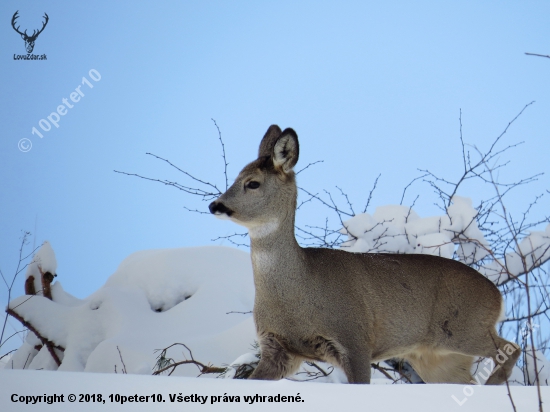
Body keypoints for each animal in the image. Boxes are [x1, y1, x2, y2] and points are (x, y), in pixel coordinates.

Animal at [209, 124, 520, 384]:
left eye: (252, 183)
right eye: (236, 178)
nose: (215, 205)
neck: (299, 292)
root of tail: (498, 295)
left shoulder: (355, 339)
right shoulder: (277, 349)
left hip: (464, 328)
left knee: (511, 348)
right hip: (439, 357)